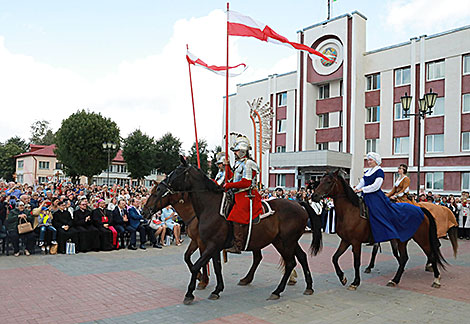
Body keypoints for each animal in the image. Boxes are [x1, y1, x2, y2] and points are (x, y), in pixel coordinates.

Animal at [143, 158, 324, 306]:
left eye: (176, 172)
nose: (145, 211)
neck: (207, 208)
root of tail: (299, 204)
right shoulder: (210, 245)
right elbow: (213, 266)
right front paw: (216, 289)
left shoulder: (209, 245)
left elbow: (195, 266)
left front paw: (191, 292)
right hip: (284, 241)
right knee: (299, 257)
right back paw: (308, 286)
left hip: (285, 241)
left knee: (290, 262)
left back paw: (277, 291)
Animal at [310, 171, 446, 290]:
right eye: (320, 181)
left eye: (328, 182)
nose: (314, 196)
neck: (350, 211)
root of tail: (420, 209)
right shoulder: (346, 240)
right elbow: (335, 258)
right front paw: (342, 277)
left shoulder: (356, 242)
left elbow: (356, 262)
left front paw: (355, 282)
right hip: (402, 241)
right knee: (404, 258)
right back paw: (395, 280)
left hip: (422, 239)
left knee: (431, 255)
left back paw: (436, 279)